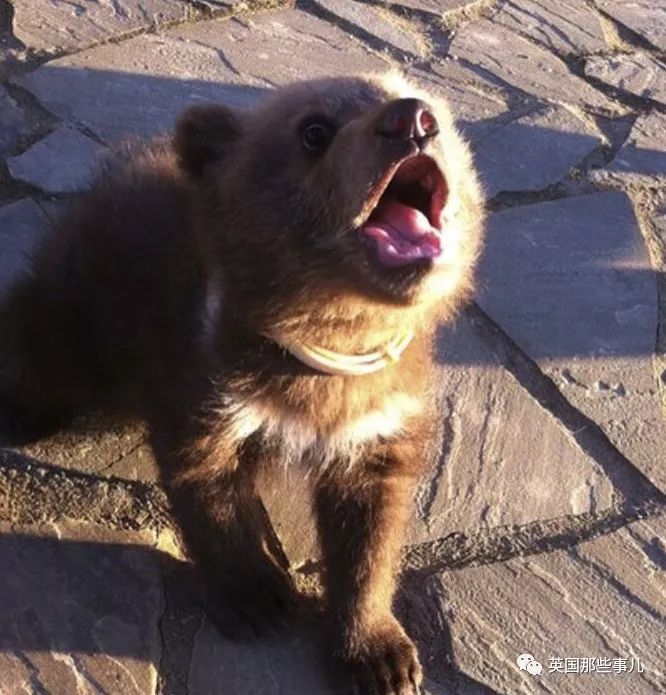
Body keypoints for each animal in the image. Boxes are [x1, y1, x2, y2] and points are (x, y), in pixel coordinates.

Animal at [0, 73, 483, 694]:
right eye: (314, 130)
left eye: (438, 116)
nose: (411, 120)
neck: (327, 340)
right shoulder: (207, 380)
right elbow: (207, 486)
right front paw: (256, 599)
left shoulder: (380, 417)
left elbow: (370, 532)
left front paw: (380, 654)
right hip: (89, 302)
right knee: (44, 331)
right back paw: (21, 409)